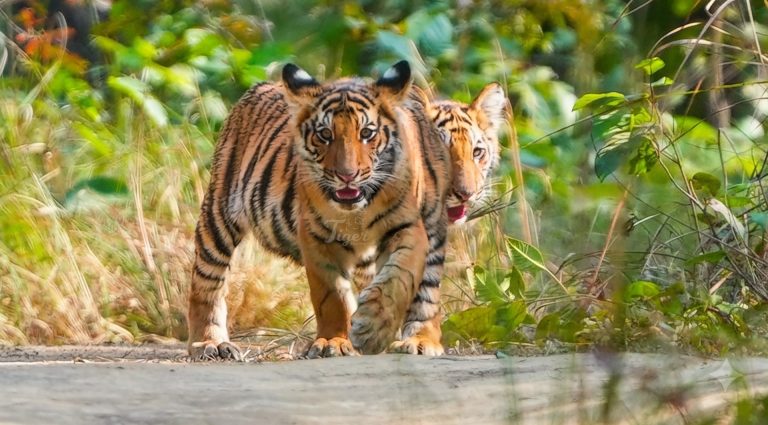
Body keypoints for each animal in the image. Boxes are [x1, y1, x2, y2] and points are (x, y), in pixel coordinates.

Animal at [187, 61, 452, 360]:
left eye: (367, 133)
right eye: (325, 134)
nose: (347, 175)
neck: (357, 212)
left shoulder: (408, 227)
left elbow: (399, 278)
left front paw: (372, 329)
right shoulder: (316, 236)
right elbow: (332, 296)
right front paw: (333, 341)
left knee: (427, 294)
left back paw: (420, 340)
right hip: (219, 215)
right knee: (206, 282)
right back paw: (209, 343)